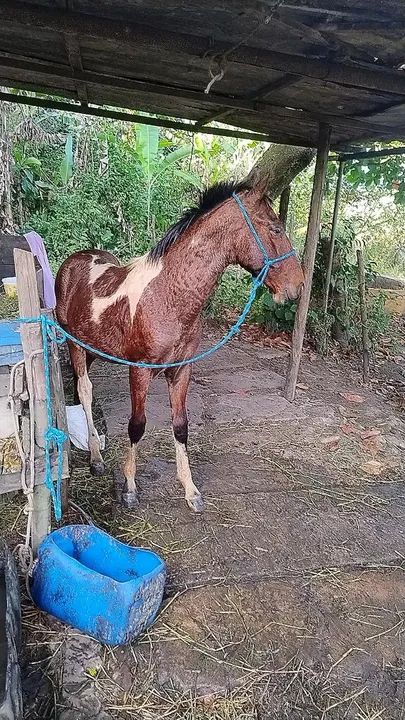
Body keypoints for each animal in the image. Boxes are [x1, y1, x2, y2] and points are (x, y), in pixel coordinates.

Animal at [55, 180, 304, 512]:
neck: (168, 297)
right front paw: (130, 488)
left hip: (94, 348)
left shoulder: (182, 370)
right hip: (76, 346)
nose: (298, 285)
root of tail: (74, 260)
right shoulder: (139, 371)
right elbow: (137, 425)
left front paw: (191, 490)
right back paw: (95, 459)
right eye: (276, 228)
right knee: (85, 391)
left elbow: (181, 426)